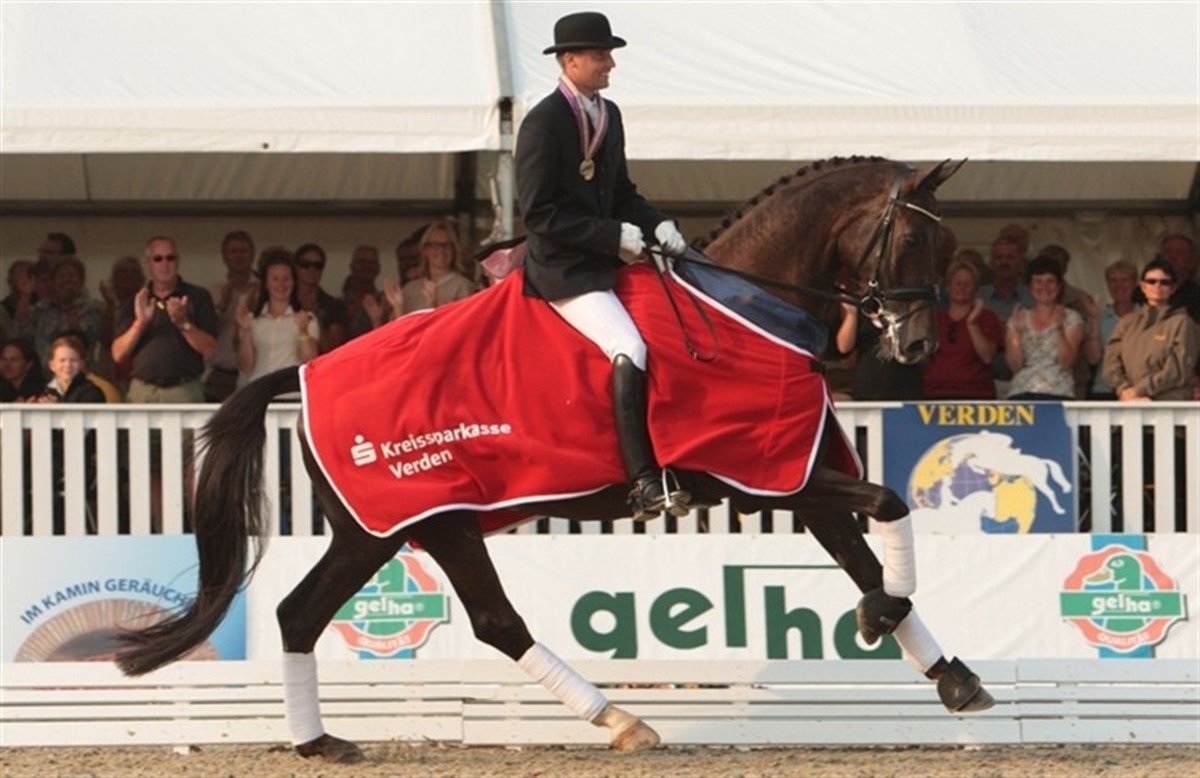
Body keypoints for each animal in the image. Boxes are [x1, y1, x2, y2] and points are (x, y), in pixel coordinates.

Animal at [116, 156, 994, 763]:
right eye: (911, 238)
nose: (918, 346)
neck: (748, 308)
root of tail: (304, 372)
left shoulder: (792, 473)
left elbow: (864, 551)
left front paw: (949, 672)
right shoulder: (770, 469)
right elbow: (888, 508)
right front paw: (882, 617)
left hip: (402, 529)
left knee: (315, 615)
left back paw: (322, 742)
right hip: (404, 524)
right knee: (480, 619)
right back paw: (619, 719)